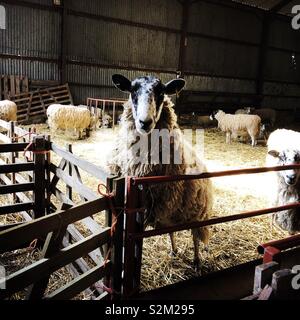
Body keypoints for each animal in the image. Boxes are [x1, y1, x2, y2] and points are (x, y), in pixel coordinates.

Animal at [108, 75, 213, 270]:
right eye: (132, 90)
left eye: (162, 92)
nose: (145, 122)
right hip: (170, 216)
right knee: (171, 232)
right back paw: (174, 250)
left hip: (197, 214)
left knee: (195, 237)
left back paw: (196, 261)